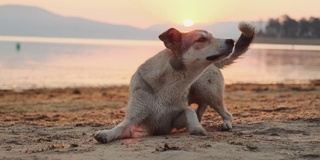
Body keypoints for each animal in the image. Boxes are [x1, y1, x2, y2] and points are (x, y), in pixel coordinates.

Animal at [93, 21, 255, 143]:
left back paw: (225, 124)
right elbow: (121, 127)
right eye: (201, 39)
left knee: (226, 114)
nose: (231, 41)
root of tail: (214, 65)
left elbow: (188, 111)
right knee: (203, 107)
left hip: (209, 92)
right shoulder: (135, 118)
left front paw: (196, 128)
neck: (170, 83)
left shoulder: (175, 120)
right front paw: (106, 133)